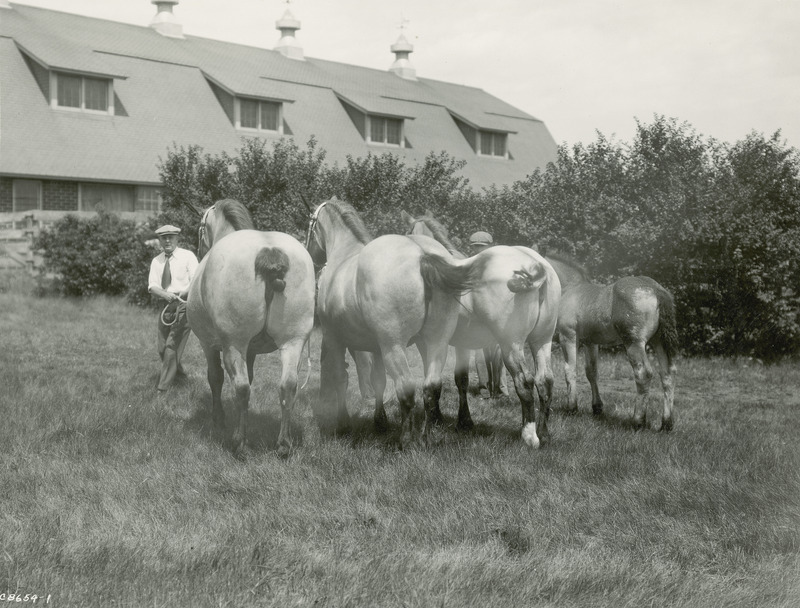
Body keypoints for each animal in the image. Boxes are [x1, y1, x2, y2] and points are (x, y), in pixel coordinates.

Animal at [185, 201, 316, 456]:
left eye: (200, 228)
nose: (198, 250)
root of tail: (269, 250)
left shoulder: (209, 344)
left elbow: (215, 377)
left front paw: (219, 419)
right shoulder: (252, 350)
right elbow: (252, 377)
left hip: (234, 343)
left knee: (242, 388)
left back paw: (240, 443)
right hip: (294, 342)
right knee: (288, 386)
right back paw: (283, 444)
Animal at [306, 198, 482, 446]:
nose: (311, 254)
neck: (345, 253)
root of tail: (422, 255)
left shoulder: (334, 339)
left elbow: (341, 378)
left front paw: (343, 424)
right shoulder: (375, 347)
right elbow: (378, 381)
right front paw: (380, 422)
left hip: (394, 346)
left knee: (407, 387)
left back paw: (406, 439)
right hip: (437, 341)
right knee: (432, 386)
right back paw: (427, 435)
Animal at [406, 213, 564, 446]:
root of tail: (535, 263)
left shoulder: (428, 343)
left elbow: (435, 382)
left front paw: (438, 420)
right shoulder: (461, 344)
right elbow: (461, 379)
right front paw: (464, 422)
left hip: (511, 345)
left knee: (525, 381)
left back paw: (529, 435)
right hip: (542, 340)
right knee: (545, 381)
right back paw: (543, 433)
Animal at [544, 254, 676, 430]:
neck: (570, 290)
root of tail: (656, 289)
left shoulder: (569, 337)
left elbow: (570, 370)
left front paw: (572, 408)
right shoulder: (591, 343)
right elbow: (592, 372)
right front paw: (597, 407)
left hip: (634, 343)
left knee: (643, 374)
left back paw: (638, 421)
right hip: (659, 342)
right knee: (668, 374)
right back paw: (666, 423)